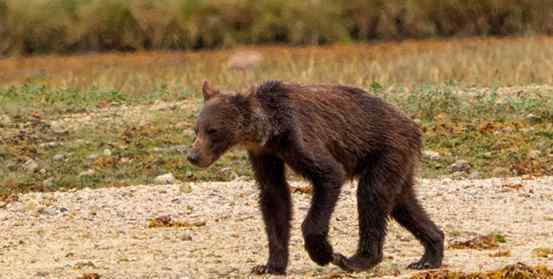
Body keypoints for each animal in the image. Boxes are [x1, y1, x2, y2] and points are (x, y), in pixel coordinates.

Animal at [188, 80, 442, 276]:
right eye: (196, 129)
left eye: (212, 130)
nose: (192, 156)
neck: (271, 131)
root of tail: (413, 125)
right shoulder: (264, 154)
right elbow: (274, 196)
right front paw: (270, 265)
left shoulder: (300, 137)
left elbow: (329, 175)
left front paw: (322, 252)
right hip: (397, 161)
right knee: (402, 203)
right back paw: (429, 255)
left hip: (386, 149)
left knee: (372, 195)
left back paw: (355, 260)